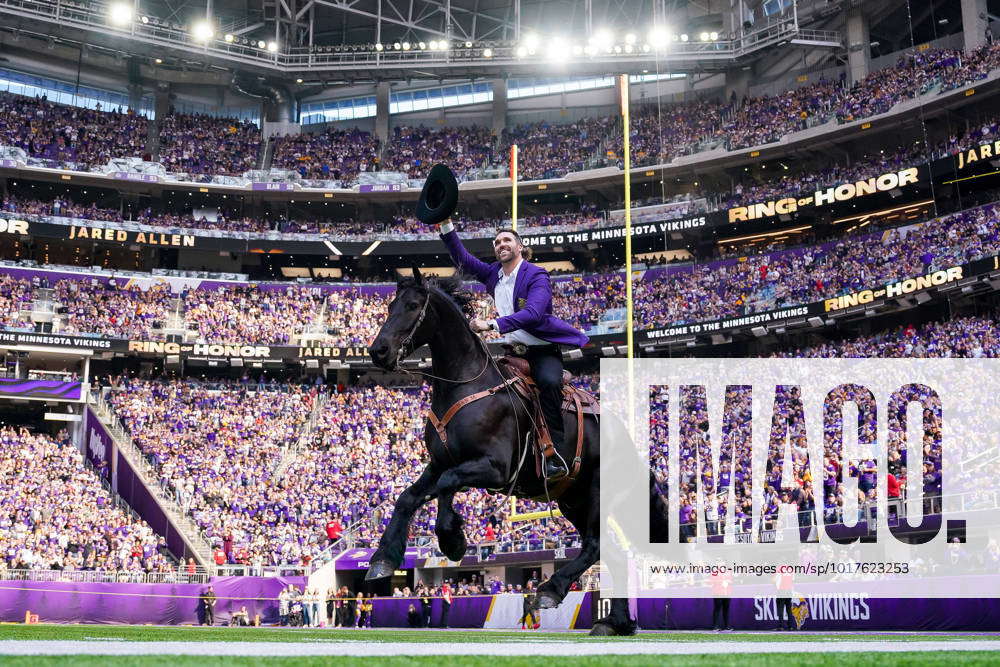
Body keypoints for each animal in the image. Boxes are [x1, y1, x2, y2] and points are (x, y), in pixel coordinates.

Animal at [368, 268, 664, 636]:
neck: (466, 384)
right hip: (573, 501)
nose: (378, 351)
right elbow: (409, 498)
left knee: (595, 545)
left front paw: (452, 539)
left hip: (598, 495)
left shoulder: (494, 468)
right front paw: (384, 558)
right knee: (611, 552)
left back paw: (551, 590)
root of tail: (629, 443)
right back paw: (614, 623)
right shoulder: (438, 464)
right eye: (390, 305)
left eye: (411, 306)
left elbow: (448, 484)